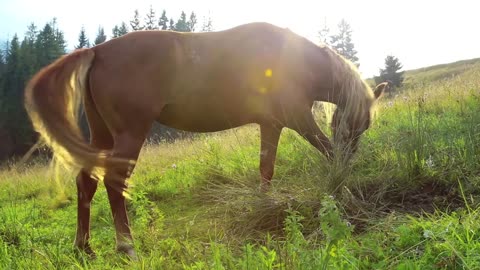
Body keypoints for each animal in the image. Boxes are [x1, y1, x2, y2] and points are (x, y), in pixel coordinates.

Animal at [25, 22, 386, 258]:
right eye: (361, 123)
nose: (354, 156)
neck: (294, 60)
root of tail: (97, 51)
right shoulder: (298, 118)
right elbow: (325, 149)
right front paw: (342, 182)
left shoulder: (271, 125)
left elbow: (266, 168)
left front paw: (265, 204)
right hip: (129, 134)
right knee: (114, 183)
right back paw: (126, 246)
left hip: (101, 134)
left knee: (86, 183)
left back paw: (84, 248)